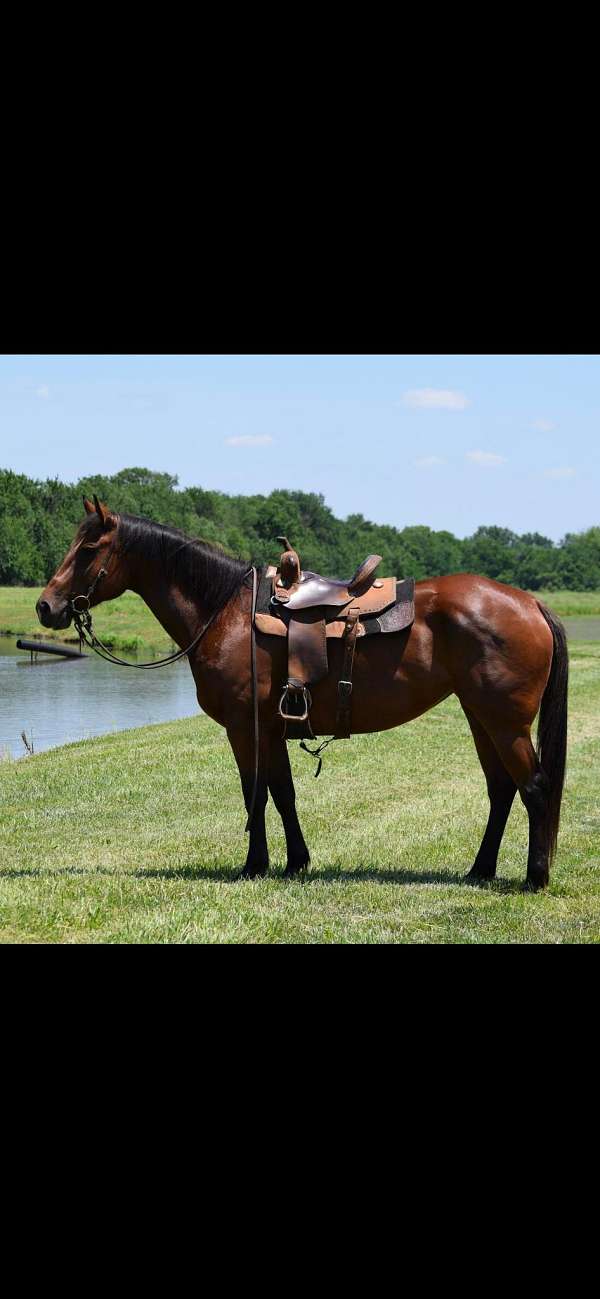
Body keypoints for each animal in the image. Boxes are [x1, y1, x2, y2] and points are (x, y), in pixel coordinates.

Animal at [35, 493, 568, 883]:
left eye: (87, 550)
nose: (45, 607)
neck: (226, 611)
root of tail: (530, 603)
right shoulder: (273, 728)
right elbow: (283, 793)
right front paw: (295, 863)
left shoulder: (244, 728)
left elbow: (255, 794)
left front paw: (254, 865)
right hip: (481, 718)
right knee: (502, 790)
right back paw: (480, 871)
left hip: (505, 723)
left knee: (534, 787)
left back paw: (534, 877)